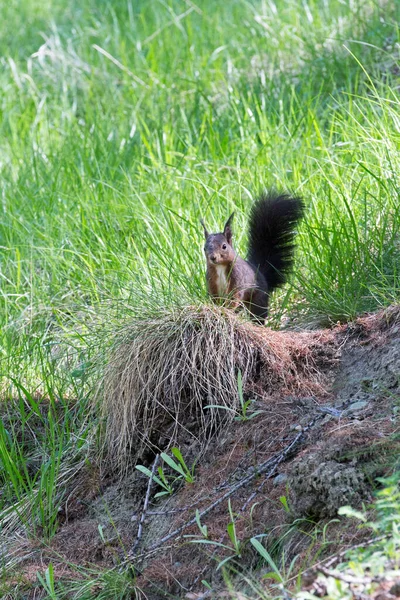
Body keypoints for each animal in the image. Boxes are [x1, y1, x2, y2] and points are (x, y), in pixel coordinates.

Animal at [202, 191, 304, 324]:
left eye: (224, 246)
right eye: (204, 248)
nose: (213, 258)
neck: (220, 267)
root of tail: (261, 273)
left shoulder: (238, 277)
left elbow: (235, 295)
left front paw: (226, 310)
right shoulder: (212, 280)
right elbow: (215, 296)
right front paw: (216, 307)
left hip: (258, 301)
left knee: (257, 315)